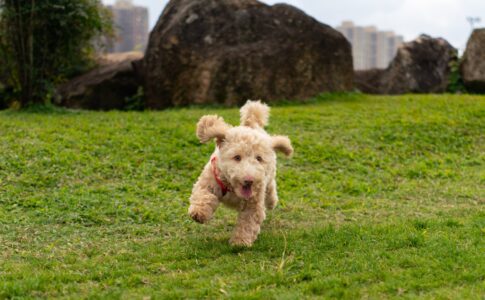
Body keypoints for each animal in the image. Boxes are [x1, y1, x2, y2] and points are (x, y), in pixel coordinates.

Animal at [187, 101, 294, 246]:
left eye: (259, 158)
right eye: (237, 157)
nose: (249, 180)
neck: (232, 188)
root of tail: (252, 125)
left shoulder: (253, 203)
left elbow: (247, 223)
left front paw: (240, 242)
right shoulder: (209, 180)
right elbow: (203, 195)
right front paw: (199, 213)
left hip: (270, 175)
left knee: (271, 188)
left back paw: (272, 201)